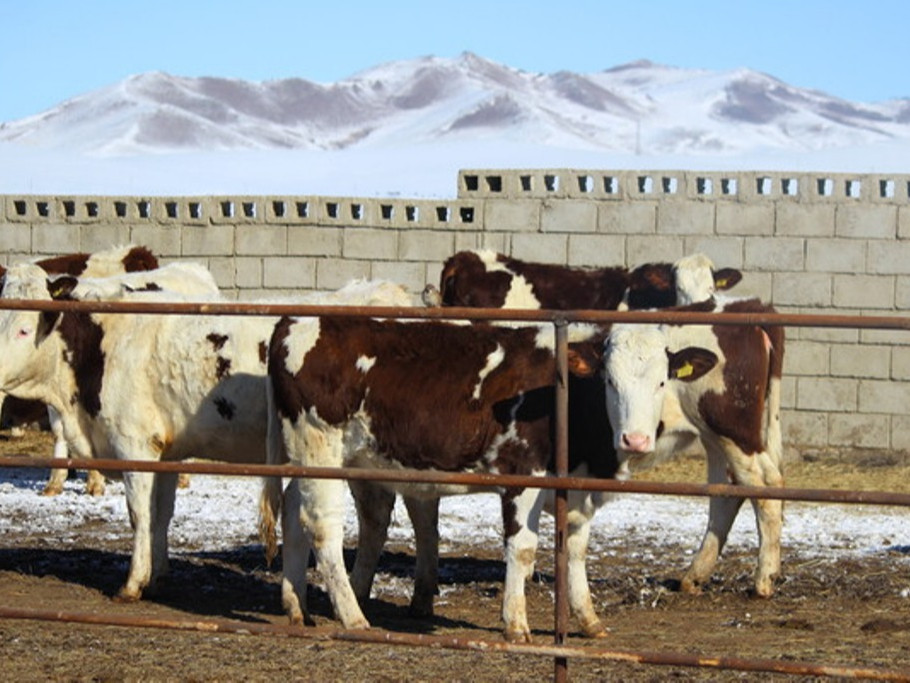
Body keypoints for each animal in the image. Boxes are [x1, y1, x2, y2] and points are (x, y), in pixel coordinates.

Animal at [266, 318, 620, 644]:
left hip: (323, 462)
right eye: (610, 381)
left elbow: (576, 550)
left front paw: (589, 619)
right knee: (321, 527)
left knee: (294, 513)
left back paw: (297, 607)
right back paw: (352, 616)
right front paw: (516, 624)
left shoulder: (576, 494)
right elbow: (521, 549)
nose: (632, 437)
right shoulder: (522, 476)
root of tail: (295, 321)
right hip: (319, 450)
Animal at [604, 296, 788, 596]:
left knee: (764, 484)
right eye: (609, 380)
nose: (634, 439)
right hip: (716, 438)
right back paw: (696, 575)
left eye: (661, 381)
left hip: (733, 430)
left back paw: (764, 579)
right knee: (728, 490)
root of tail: (749, 305)